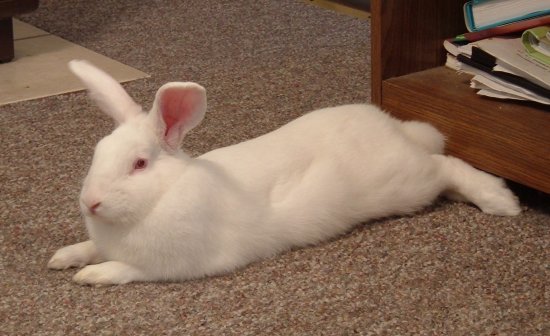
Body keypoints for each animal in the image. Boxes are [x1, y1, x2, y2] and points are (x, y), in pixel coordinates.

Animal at [47, 59, 520, 284]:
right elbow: (90, 248)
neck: (158, 199)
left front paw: (91, 275)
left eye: (140, 164)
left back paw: (500, 200)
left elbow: (125, 269)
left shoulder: (177, 265)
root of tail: (395, 129)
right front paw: (64, 257)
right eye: (97, 153)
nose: (91, 202)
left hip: (406, 183)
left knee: (446, 165)